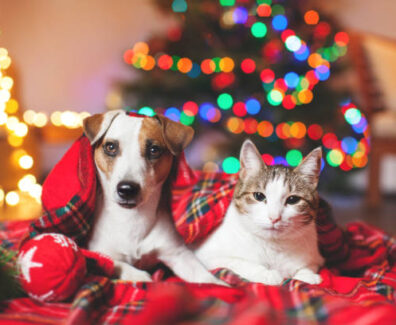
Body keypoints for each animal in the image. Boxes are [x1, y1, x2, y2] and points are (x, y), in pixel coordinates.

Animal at [83, 109, 226, 284]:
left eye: (154, 150)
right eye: (110, 147)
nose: (127, 189)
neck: (131, 219)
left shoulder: (178, 254)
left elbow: (205, 276)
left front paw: (221, 284)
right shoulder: (98, 251)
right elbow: (114, 262)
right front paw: (138, 275)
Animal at [193, 139, 324, 284]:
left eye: (293, 199)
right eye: (259, 196)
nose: (274, 217)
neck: (273, 247)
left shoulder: (315, 258)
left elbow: (307, 267)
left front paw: (307, 275)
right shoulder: (207, 257)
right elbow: (237, 263)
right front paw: (266, 274)